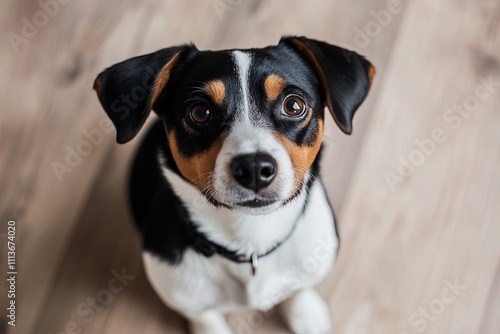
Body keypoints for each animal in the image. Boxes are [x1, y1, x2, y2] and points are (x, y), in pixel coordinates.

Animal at [94, 36, 376, 334]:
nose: (254, 168)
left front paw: (306, 314)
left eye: (294, 105)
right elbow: (205, 317)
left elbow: (299, 289)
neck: (251, 236)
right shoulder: (184, 297)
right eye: (200, 112)